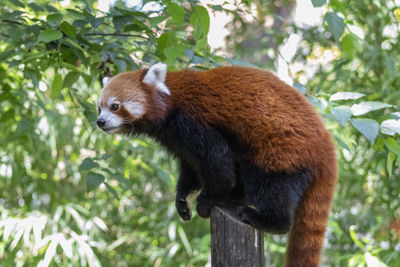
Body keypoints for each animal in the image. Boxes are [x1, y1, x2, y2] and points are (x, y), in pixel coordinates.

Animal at [97, 63, 338, 267]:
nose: (100, 122)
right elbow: (190, 169)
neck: (170, 102)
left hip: (280, 152)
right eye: (99, 107)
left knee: (268, 185)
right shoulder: (177, 140)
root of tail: (326, 147)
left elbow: (218, 164)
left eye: (115, 106)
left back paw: (264, 218)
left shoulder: (194, 122)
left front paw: (206, 200)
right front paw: (182, 200)